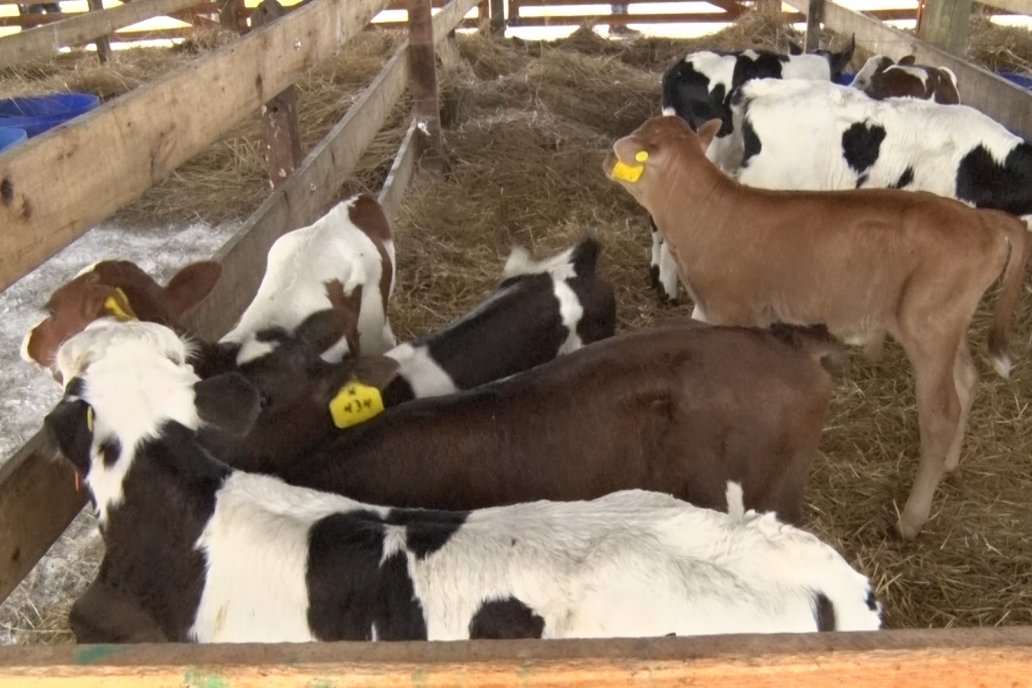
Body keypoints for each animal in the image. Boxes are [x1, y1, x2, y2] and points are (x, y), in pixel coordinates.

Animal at [602, 115, 1032, 540]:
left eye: (630, 149)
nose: (607, 159)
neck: (707, 215)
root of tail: (981, 219)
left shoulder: (732, 309)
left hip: (928, 326)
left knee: (941, 415)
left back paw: (909, 521)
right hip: (949, 326)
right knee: (967, 380)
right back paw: (950, 463)